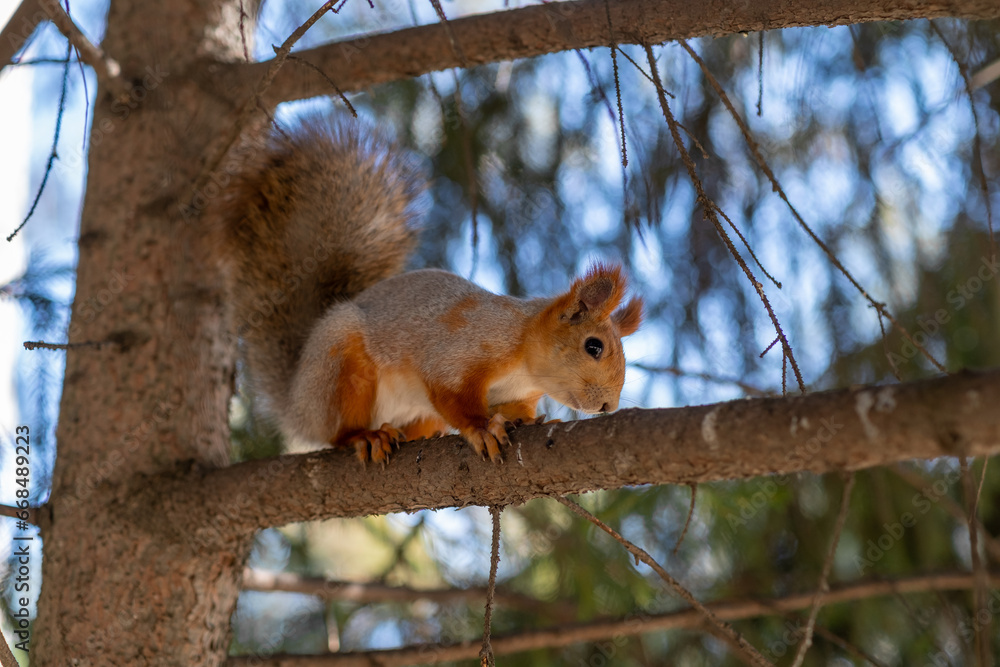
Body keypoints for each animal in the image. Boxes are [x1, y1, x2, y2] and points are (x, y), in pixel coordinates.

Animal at [213, 113, 643, 464]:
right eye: (593, 347)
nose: (608, 405)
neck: (524, 360)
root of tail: (296, 404)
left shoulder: (513, 394)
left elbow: (514, 410)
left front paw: (531, 421)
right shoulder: (460, 350)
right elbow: (453, 396)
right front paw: (481, 428)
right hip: (338, 368)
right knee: (337, 432)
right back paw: (366, 436)